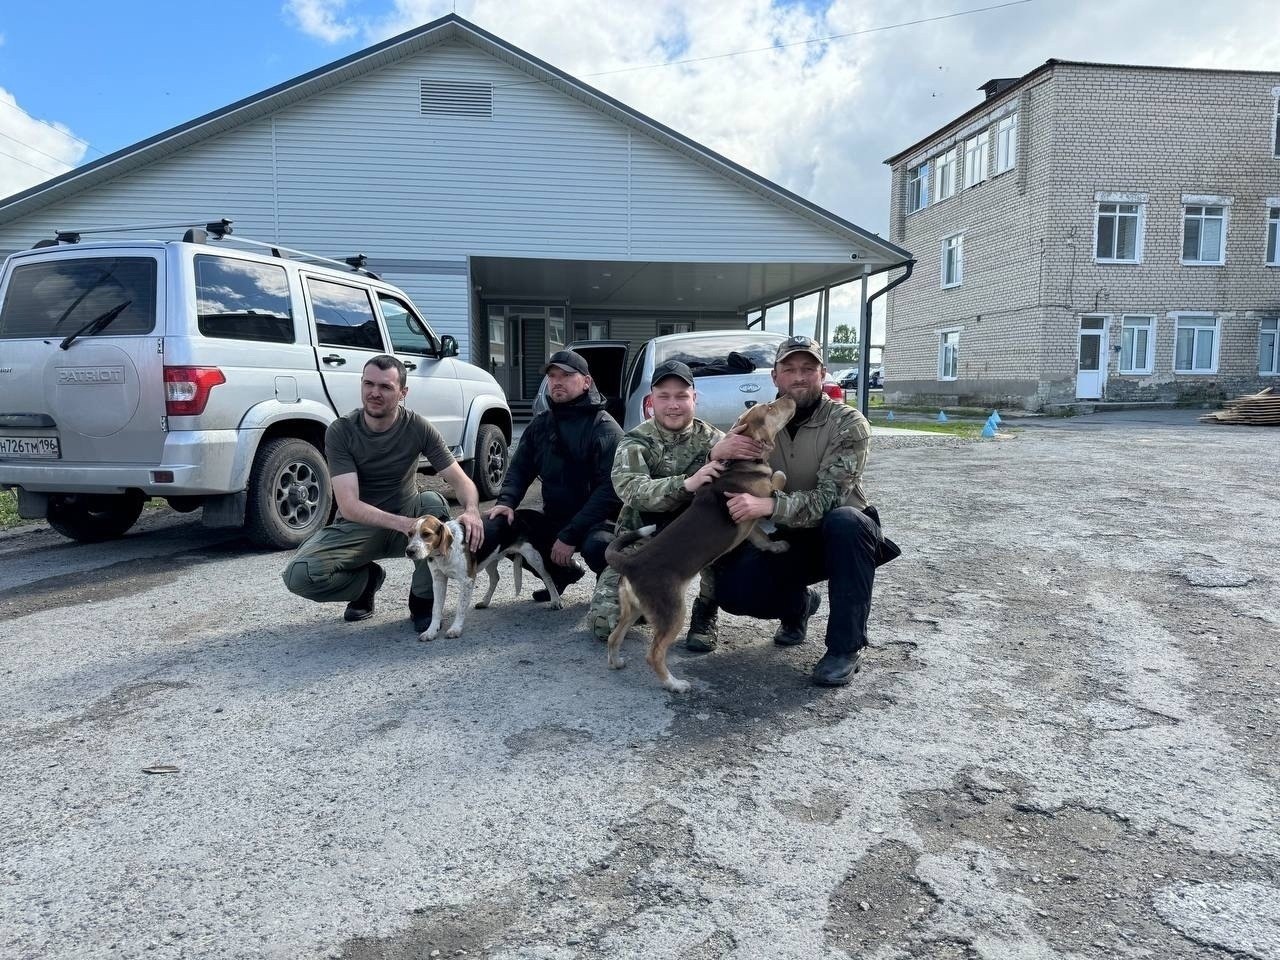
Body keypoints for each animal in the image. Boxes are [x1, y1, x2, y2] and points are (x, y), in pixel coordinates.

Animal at [604, 394, 793, 696]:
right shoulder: (758, 499)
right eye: (771, 408)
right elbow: (778, 476)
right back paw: (674, 684)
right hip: (672, 613)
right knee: (654, 654)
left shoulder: (749, 522)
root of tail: (631, 562)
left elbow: (761, 538)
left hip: (632, 609)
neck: (738, 462)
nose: (786, 397)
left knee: (614, 636)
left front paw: (775, 548)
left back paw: (616, 662)